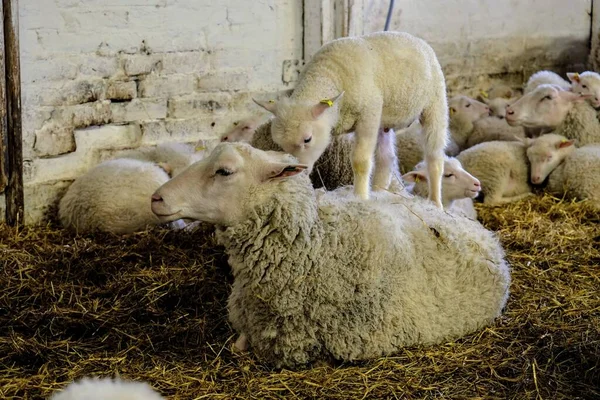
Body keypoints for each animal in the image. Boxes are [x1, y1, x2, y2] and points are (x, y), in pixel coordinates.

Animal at [253, 30, 450, 209]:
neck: (327, 74)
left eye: (307, 139)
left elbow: (360, 160)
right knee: (386, 158)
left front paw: (360, 197)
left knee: (434, 157)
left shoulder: (368, 115)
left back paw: (435, 202)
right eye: (279, 144)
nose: (298, 172)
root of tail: (415, 38)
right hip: (384, 120)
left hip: (435, 103)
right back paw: (379, 192)